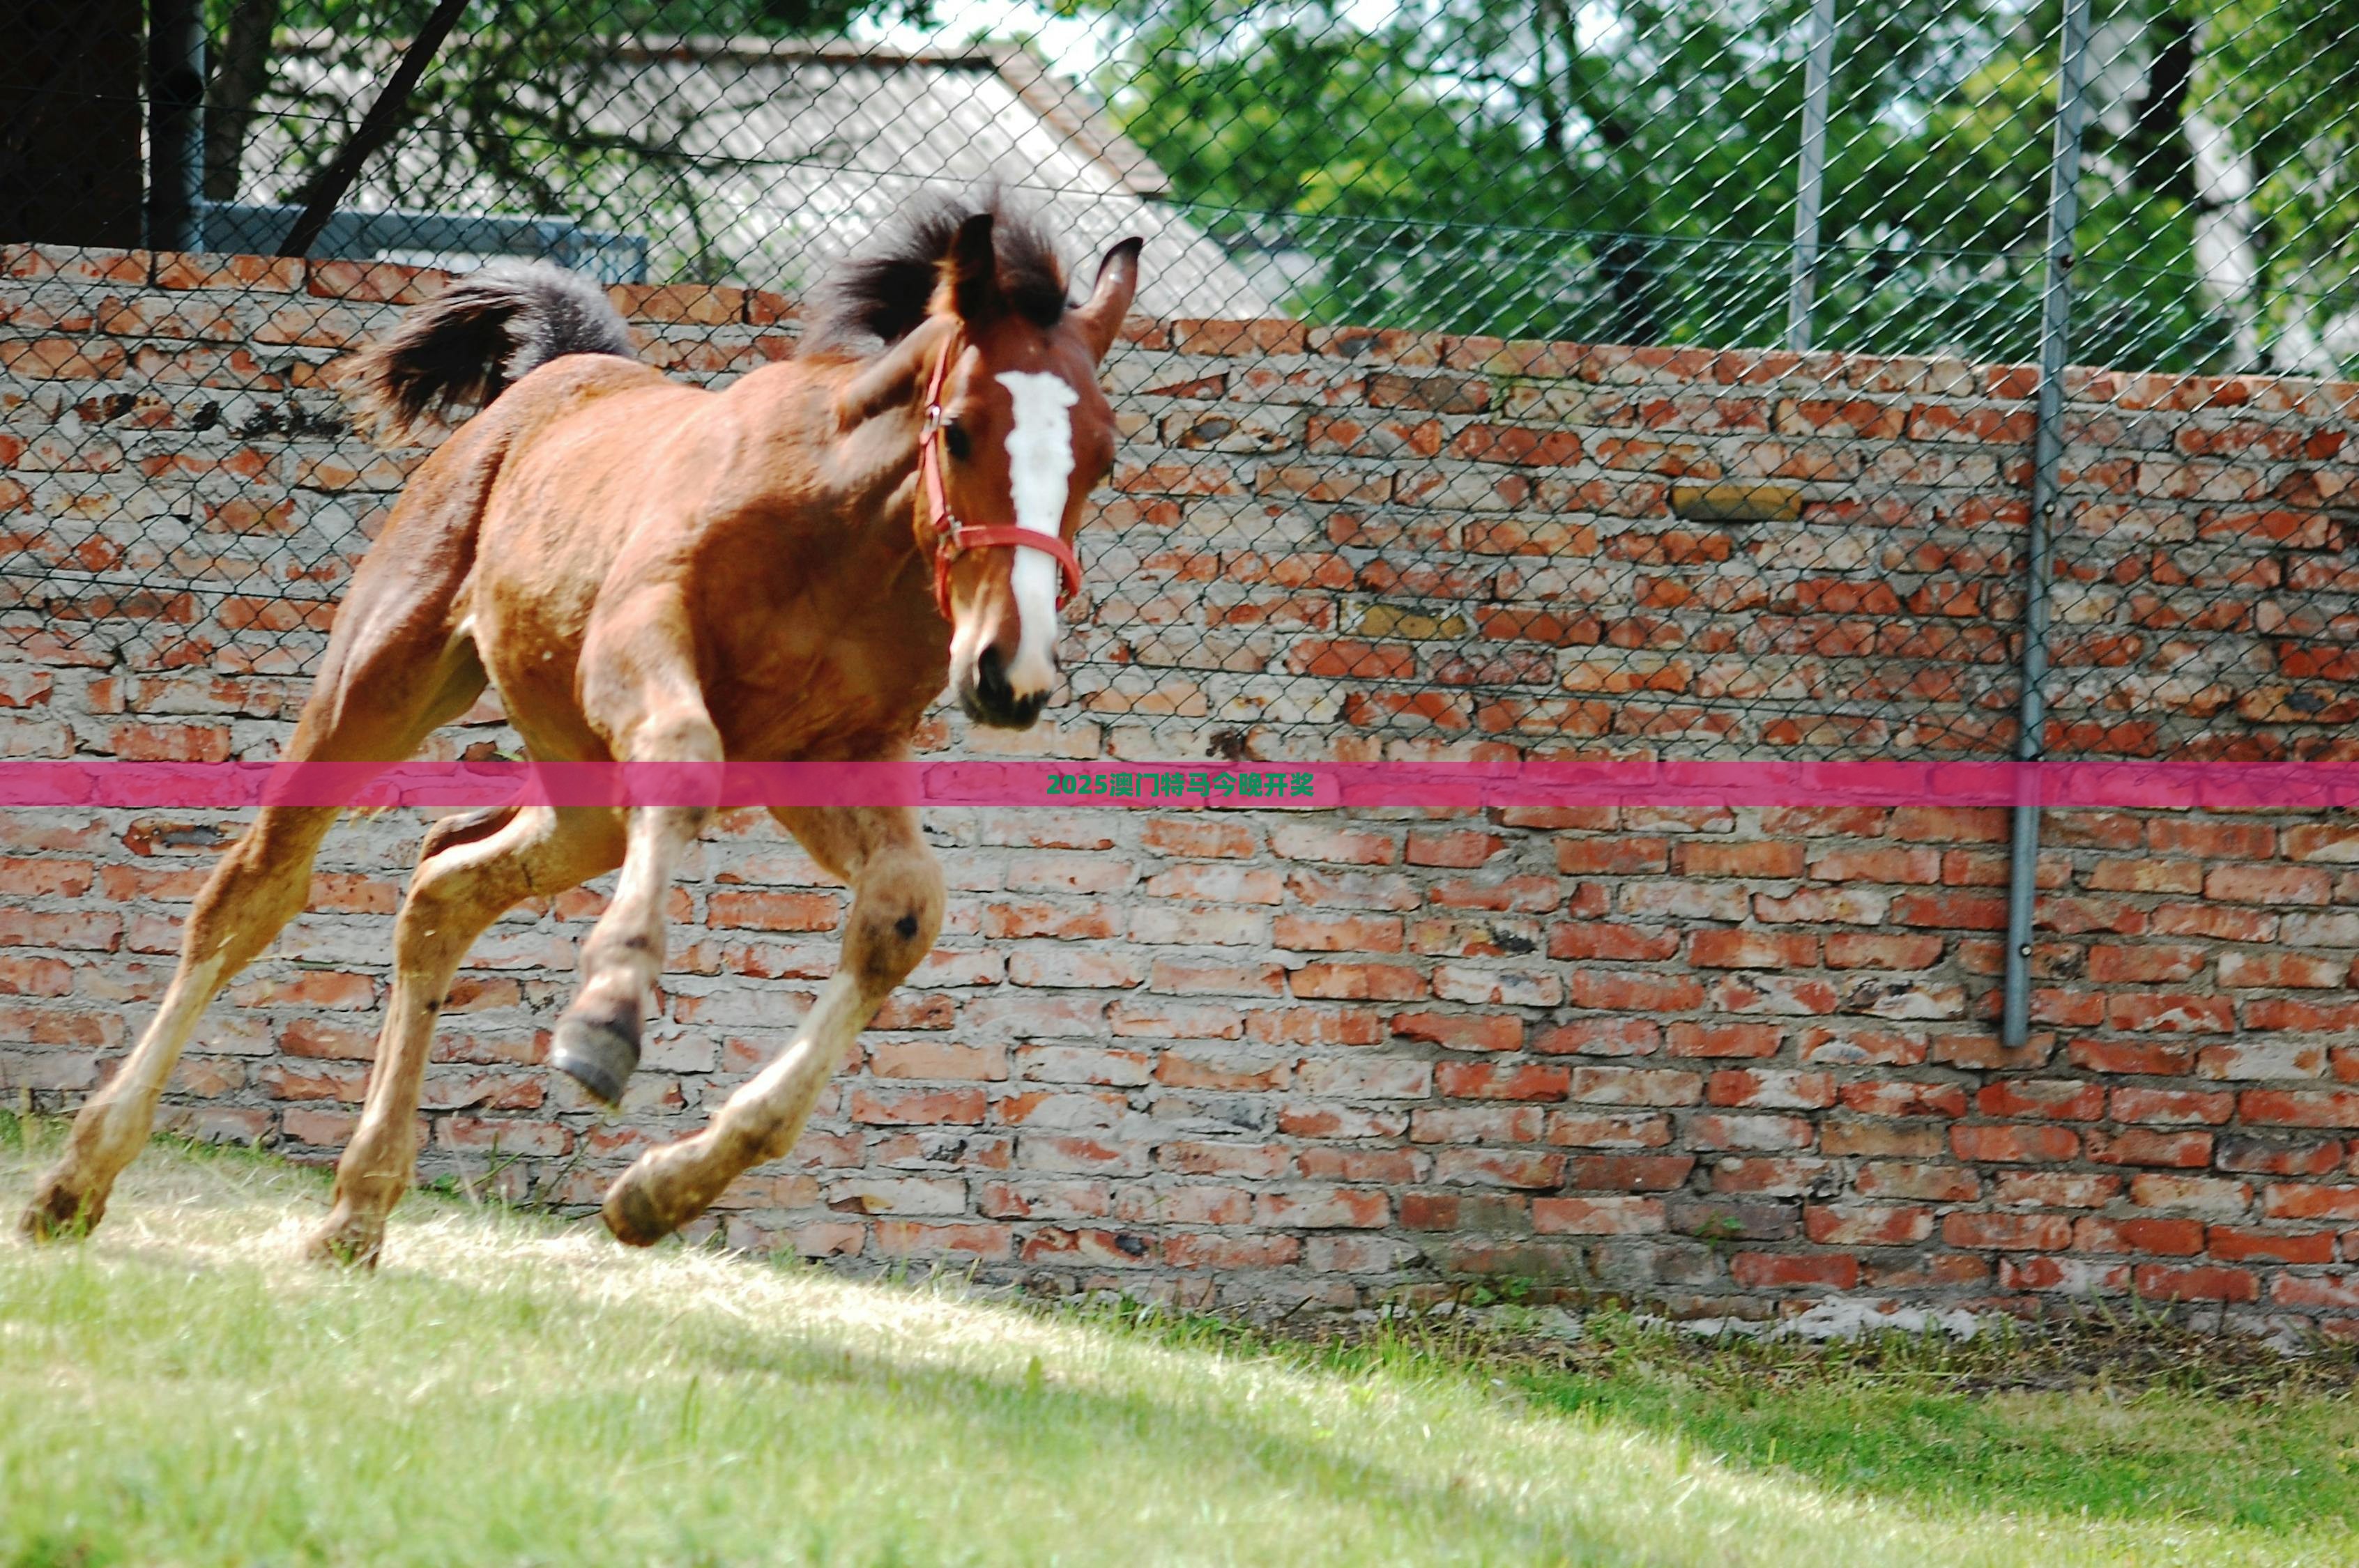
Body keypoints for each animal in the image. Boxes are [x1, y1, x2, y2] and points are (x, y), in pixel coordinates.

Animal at [18, 199, 1141, 1273]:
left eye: (1102, 456)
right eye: (960, 430)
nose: (1010, 672)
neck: (842, 539)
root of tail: (554, 374)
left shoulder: (835, 756)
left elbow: (905, 911)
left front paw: (661, 1190)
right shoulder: (638, 653)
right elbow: (687, 762)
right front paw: (605, 1025)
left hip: (587, 795)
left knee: (444, 887)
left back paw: (357, 1211)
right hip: (381, 683)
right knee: (255, 889)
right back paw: (77, 1182)